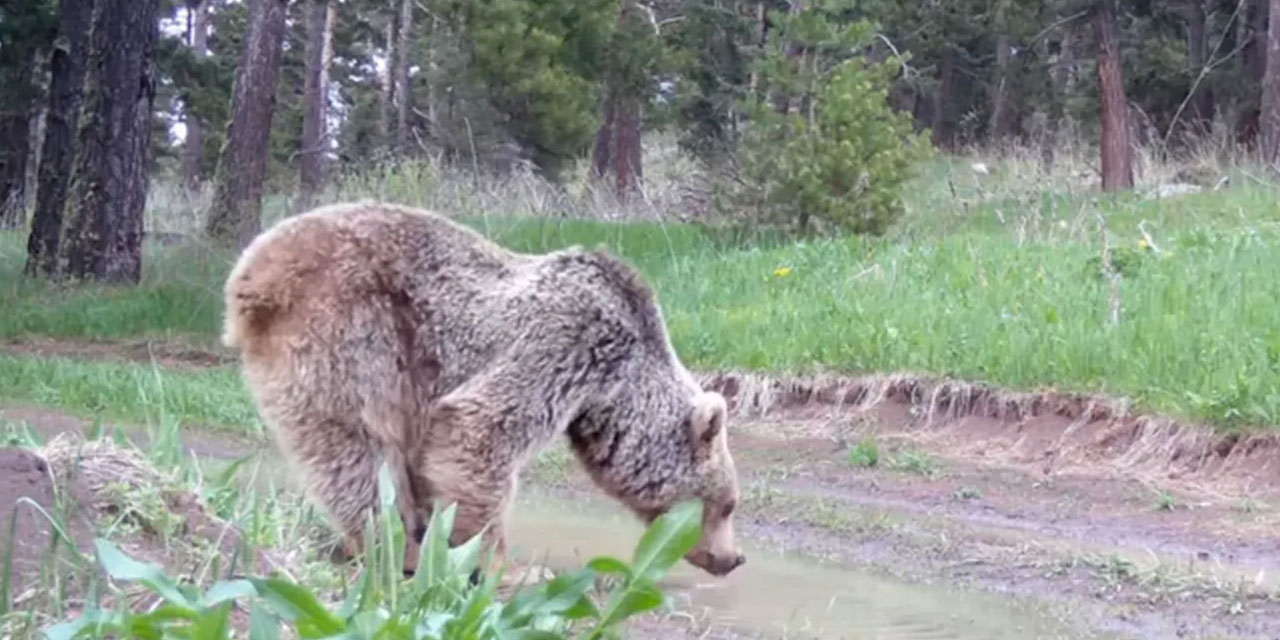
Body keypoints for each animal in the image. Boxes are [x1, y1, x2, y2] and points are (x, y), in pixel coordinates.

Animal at [216, 200, 747, 581]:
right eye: (727, 504)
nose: (733, 558)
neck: (618, 386)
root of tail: (250, 270)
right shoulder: (566, 343)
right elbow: (480, 429)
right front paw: (502, 567)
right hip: (351, 331)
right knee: (358, 451)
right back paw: (393, 546)